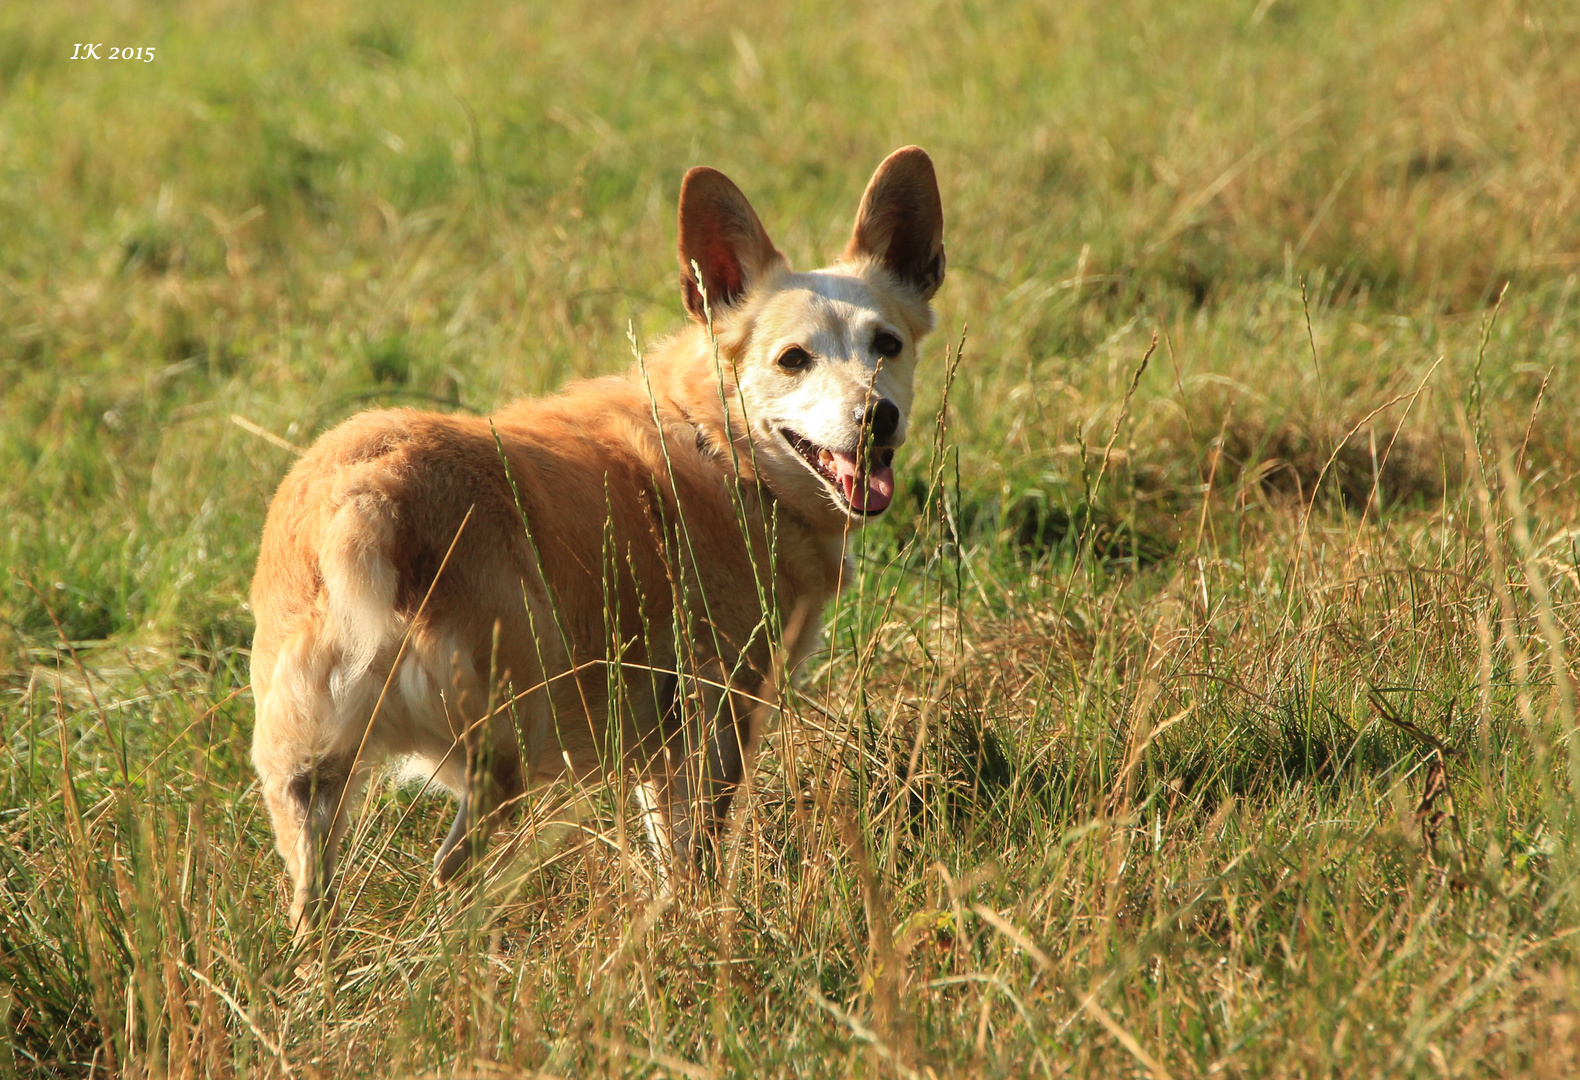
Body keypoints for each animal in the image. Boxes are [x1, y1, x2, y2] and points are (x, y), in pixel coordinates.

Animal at [244, 147, 935, 934]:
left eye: (888, 345)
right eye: (793, 359)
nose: (877, 417)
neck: (717, 440)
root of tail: (370, 494)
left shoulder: (659, 746)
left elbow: (668, 847)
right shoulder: (719, 716)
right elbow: (698, 852)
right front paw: (699, 926)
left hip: (305, 777)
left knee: (315, 904)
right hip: (509, 749)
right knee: (447, 875)